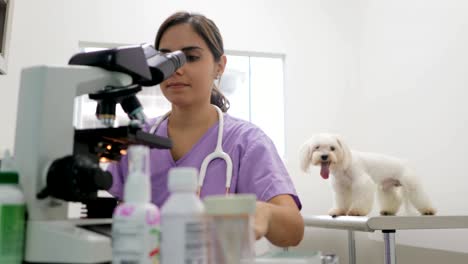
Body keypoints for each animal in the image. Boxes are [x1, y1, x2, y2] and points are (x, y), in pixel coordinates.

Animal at [300, 134, 436, 217]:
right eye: (317, 147)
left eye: (332, 148)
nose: (324, 156)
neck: (343, 165)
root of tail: (405, 162)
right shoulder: (341, 188)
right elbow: (341, 201)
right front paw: (339, 211)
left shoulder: (362, 182)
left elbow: (361, 198)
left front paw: (357, 211)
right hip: (386, 187)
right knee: (393, 198)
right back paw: (388, 210)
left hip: (411, 184)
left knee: (420, 196)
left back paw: (428, 210)